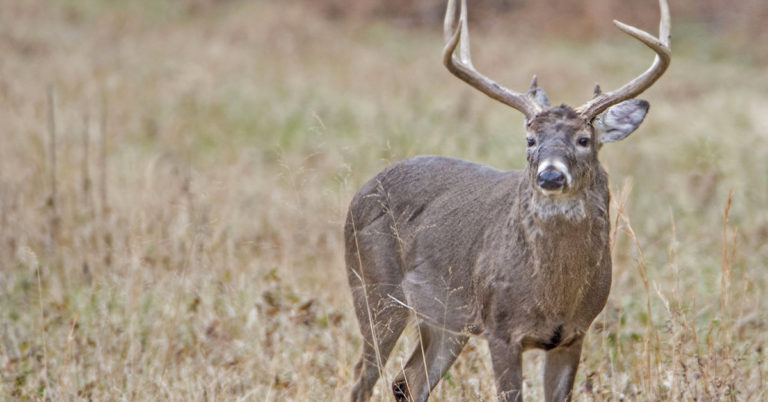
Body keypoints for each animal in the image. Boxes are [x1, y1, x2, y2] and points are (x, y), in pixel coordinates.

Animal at [344, 0, 670, 400]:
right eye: (530, 139)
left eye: (584, 140)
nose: (550, 176)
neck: (554, 295)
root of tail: (361, 192)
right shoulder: (500, 329)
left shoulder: (573, 334)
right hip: (374, 288)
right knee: (363, 378)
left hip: (446, 319)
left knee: (408, 380)